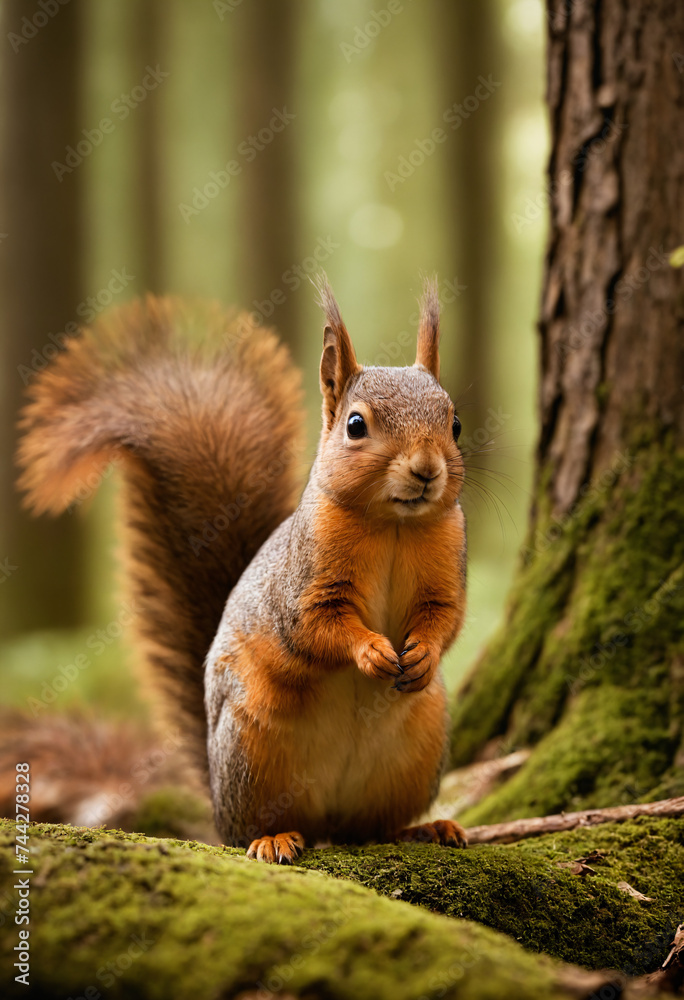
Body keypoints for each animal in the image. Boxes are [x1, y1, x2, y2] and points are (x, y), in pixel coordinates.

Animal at [17, 276, 468, 864]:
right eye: (355, 425)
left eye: (455, 423)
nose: (426, 470)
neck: (395, 525)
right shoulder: (304, 583)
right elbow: (315, 625)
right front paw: (370, 651)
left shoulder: (447, 563)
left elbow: (445, 618)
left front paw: (423, 655)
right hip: (252, 752)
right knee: (256, 826)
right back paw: (273, 839)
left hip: (418, 749)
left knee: (372, 828)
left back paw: (424, 829)